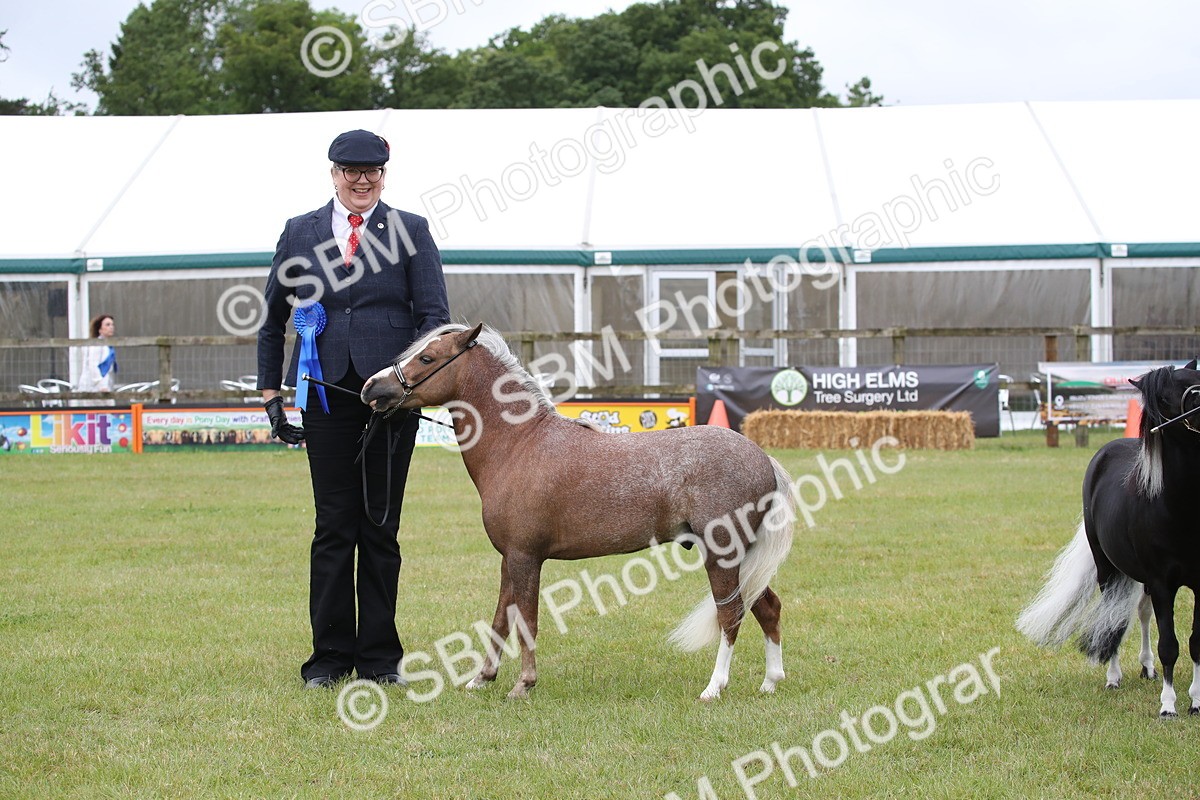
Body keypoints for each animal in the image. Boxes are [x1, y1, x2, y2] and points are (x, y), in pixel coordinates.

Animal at [361, 322, 797, 700]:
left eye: (428, 358)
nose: (370, 387)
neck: (520, 442)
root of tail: (762, 458)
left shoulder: (526, 558)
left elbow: (527, 622)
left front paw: (523, 685)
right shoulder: (509, 559)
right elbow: (501, 618)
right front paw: (482, 678)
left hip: (722, 555)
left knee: (731, 615)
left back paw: (714, 687)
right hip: (742, 559)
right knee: (767, 608)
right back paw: (771, 682)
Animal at [1017, 360, 1200, 717]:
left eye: (1198, 377)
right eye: (1163, 397)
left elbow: (1196, 642)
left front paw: (1196, 701)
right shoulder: (1162, 583)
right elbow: (1169, 645)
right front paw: (1168, 705)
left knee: (1140, 613)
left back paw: (1146, 667)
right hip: (1107, 569)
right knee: (1113, 619)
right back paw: (1114, 677)